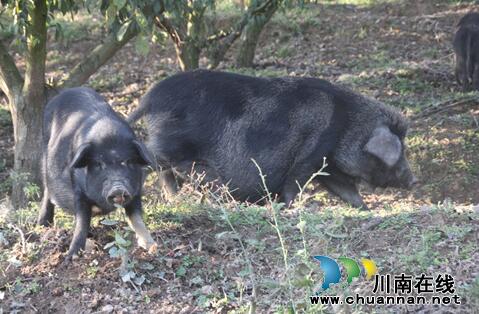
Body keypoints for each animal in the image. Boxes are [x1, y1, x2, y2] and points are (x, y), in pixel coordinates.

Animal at [38, 87, 158, 258]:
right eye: (98, 164)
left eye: (128, 161)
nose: (117, 187)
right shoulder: (78, 191)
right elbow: (81, 222)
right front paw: (72, 256)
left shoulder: (136, 191)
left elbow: (136, 218)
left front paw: (152, 247)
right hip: (44, 158)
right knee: (47, 192)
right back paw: (43, 224)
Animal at [129, 70, 418, 210]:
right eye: (399, 151)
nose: (414, 180)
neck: (346, 123)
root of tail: (149, 99)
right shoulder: (312, 150)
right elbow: (296, 182)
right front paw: (291, 207)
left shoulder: (329, 164)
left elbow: (346, 190)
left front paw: (366, 209)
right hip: (171, 142)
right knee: (160, 162)